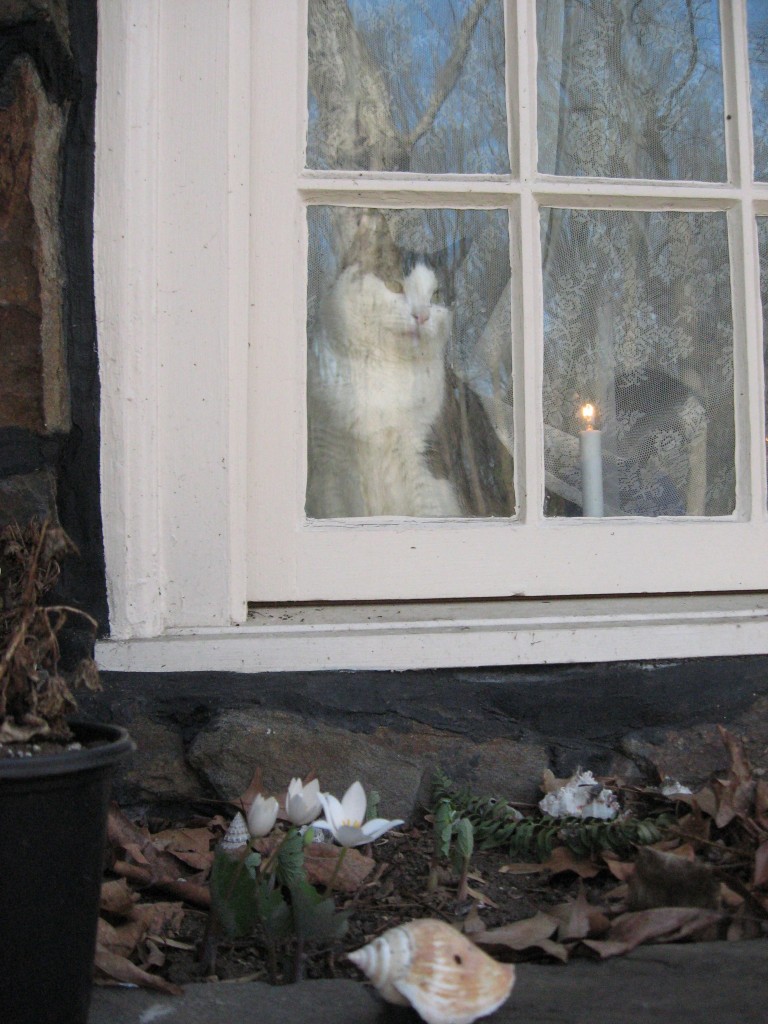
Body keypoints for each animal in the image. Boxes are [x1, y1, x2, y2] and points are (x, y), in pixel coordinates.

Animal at [303, 214, 514, 520]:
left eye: (437, 295)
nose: (422, 315)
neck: (382, 369)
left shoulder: (426, 467)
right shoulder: (328, 464)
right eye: (394, 285)